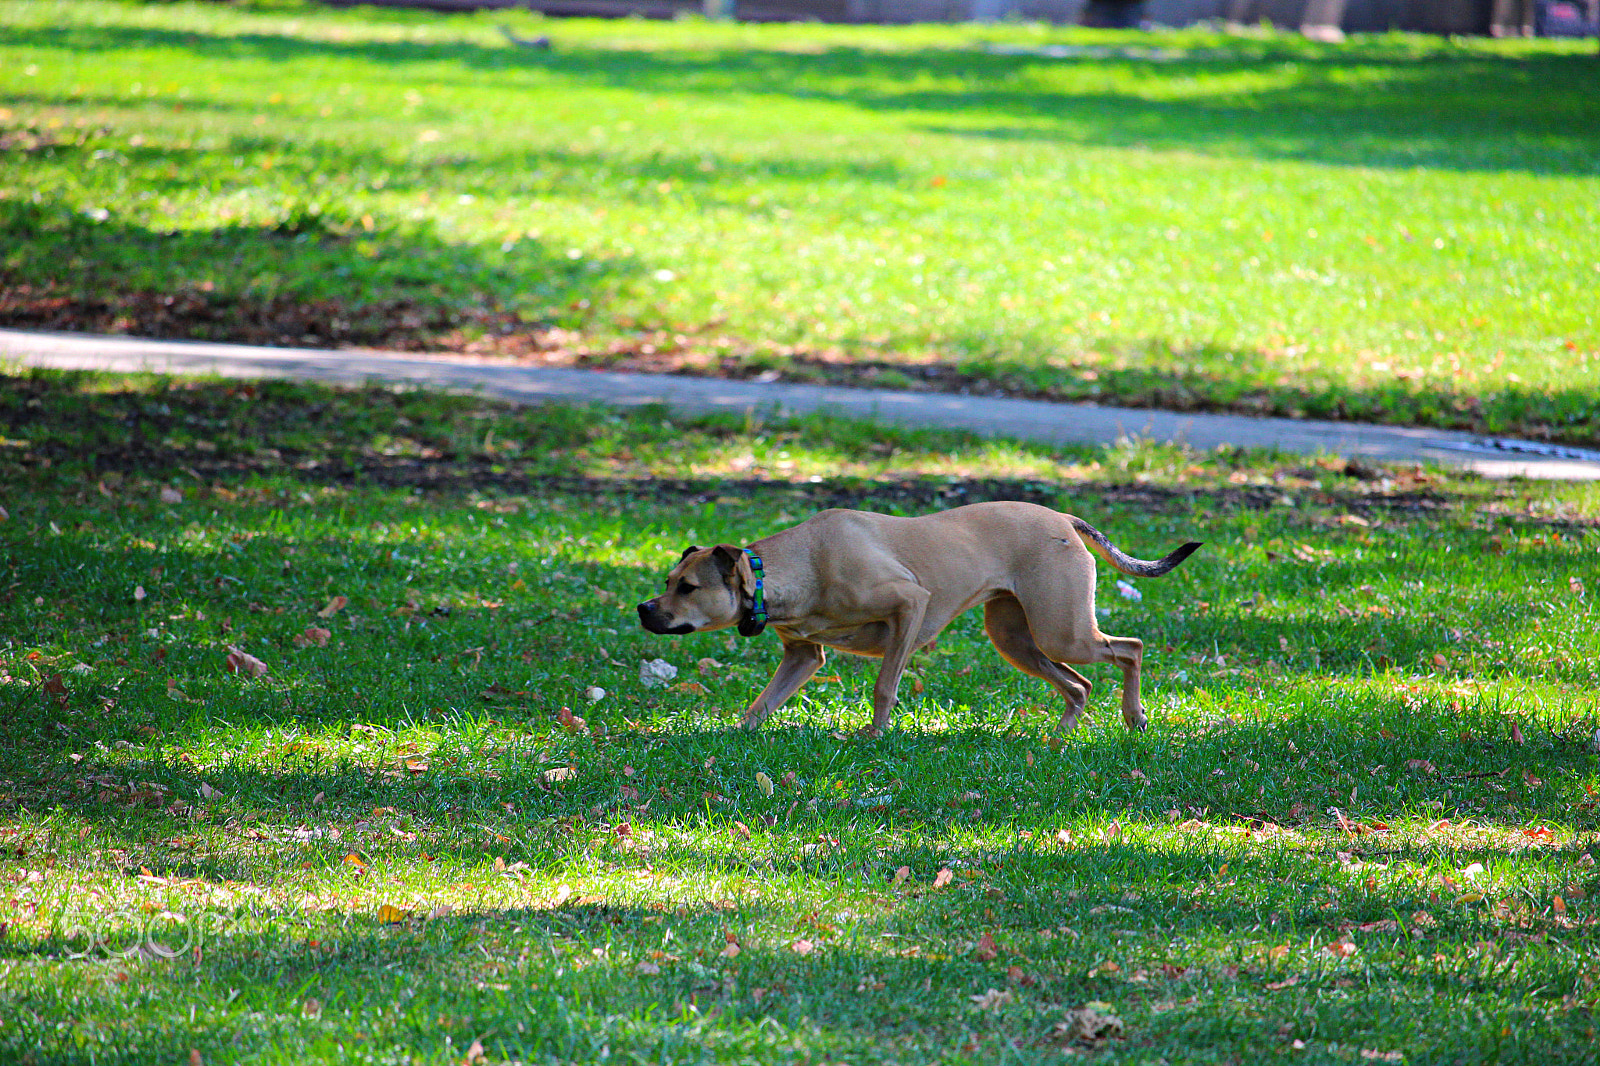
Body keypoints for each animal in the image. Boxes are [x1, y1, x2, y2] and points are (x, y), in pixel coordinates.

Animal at [636, 502, 1203, 736]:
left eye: (688, 588)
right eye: (668, 580)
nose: (644, 609)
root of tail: (1062, 517)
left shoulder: (911, 604)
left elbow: (885, 684)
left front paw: (875, 735)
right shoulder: (803, 656)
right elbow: (760, 705)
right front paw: (734, 736)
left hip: (1061, 631)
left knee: (1129, 649)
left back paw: (1134, 716)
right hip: (1015, 637)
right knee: (1079, 685)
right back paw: (1059, 736)